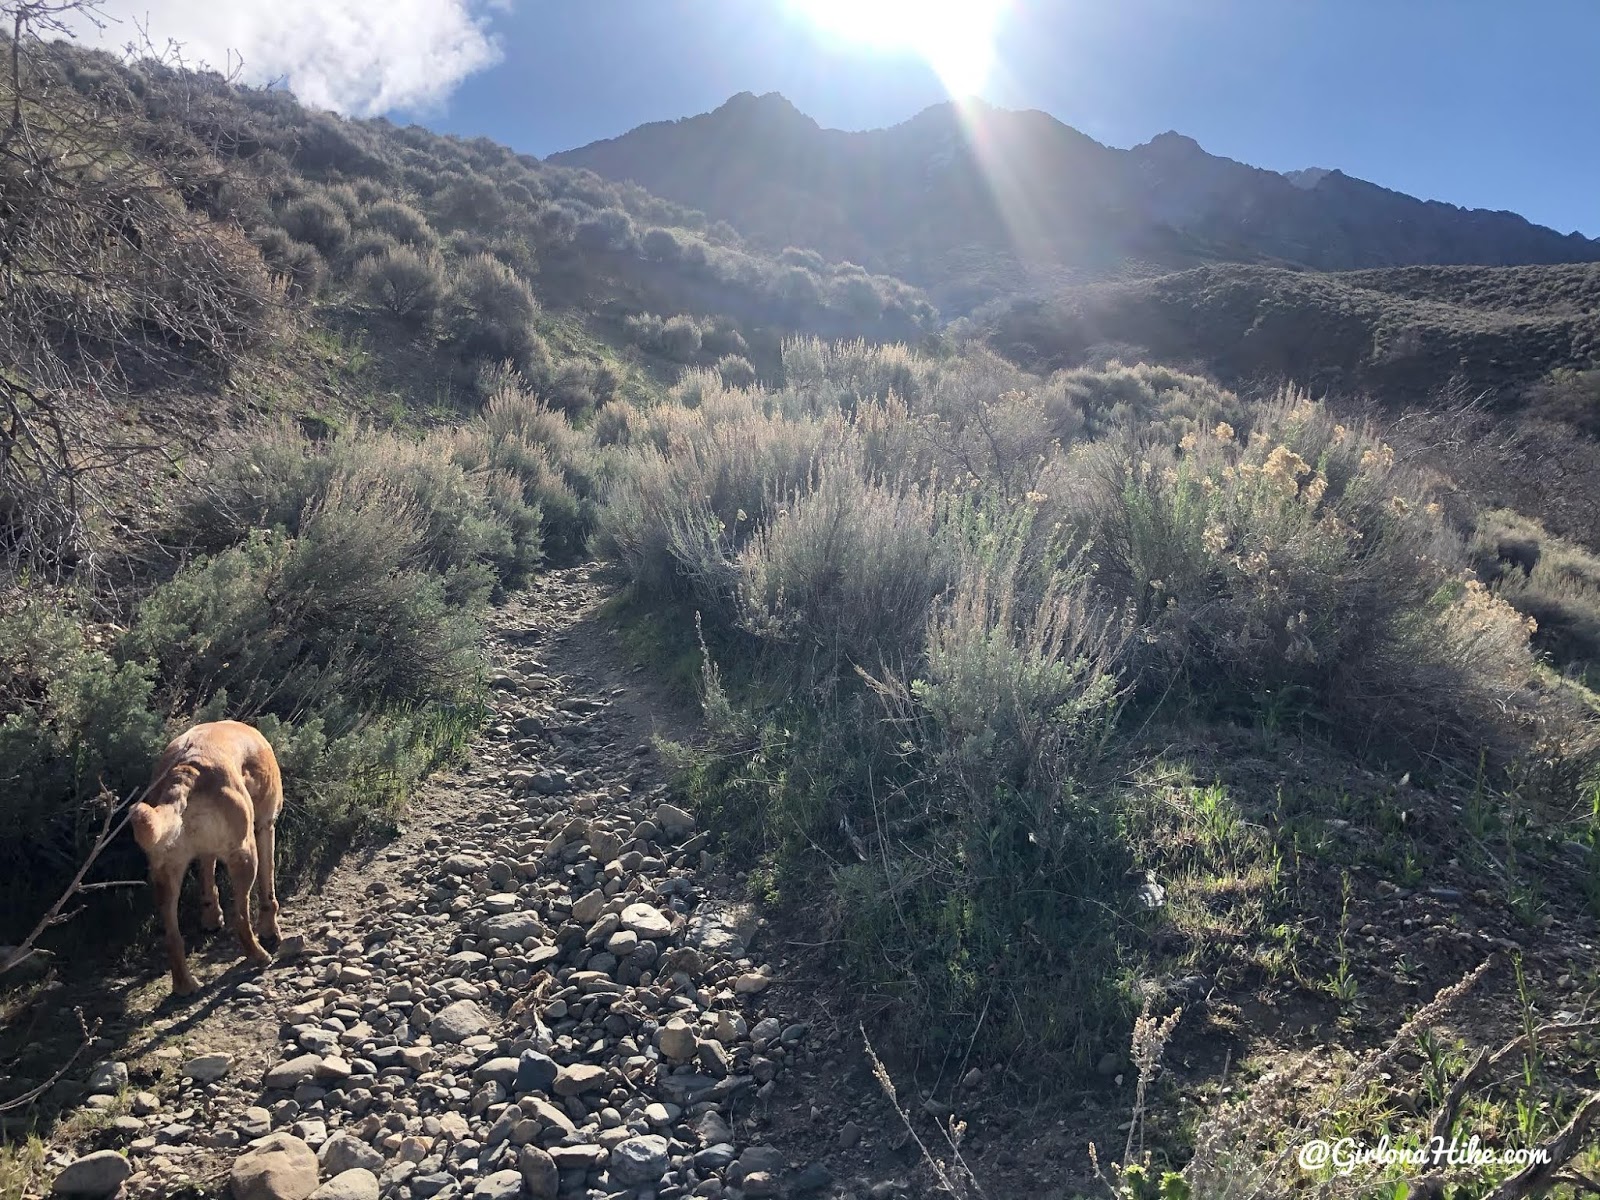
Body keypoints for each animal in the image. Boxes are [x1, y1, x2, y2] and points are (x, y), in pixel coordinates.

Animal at [131, 723, 284, 998]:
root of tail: (185, 771)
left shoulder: (205, 852)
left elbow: (207, 875)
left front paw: (211, 916)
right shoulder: (266, 826)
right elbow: (268, 893)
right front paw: (270, 930)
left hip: (164, 874)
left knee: (172, 937)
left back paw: (185, 985)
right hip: (245, 855)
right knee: (241, 919)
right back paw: (259, 956)